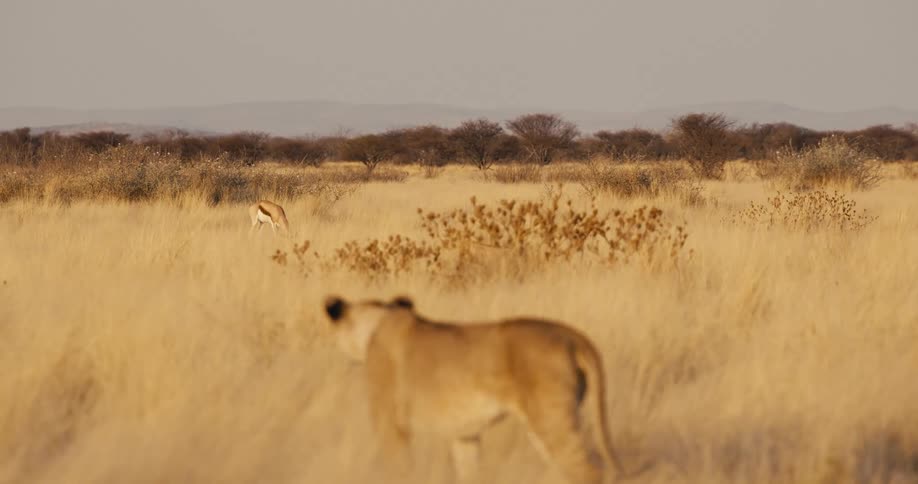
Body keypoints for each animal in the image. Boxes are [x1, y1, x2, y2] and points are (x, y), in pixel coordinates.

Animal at [323, 294, 636, 484]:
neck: (375, 325)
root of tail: (572, 335)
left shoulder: (390, 425)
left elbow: (398, 470)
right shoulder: (465, 434)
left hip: (551, 419)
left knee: (589, 472)